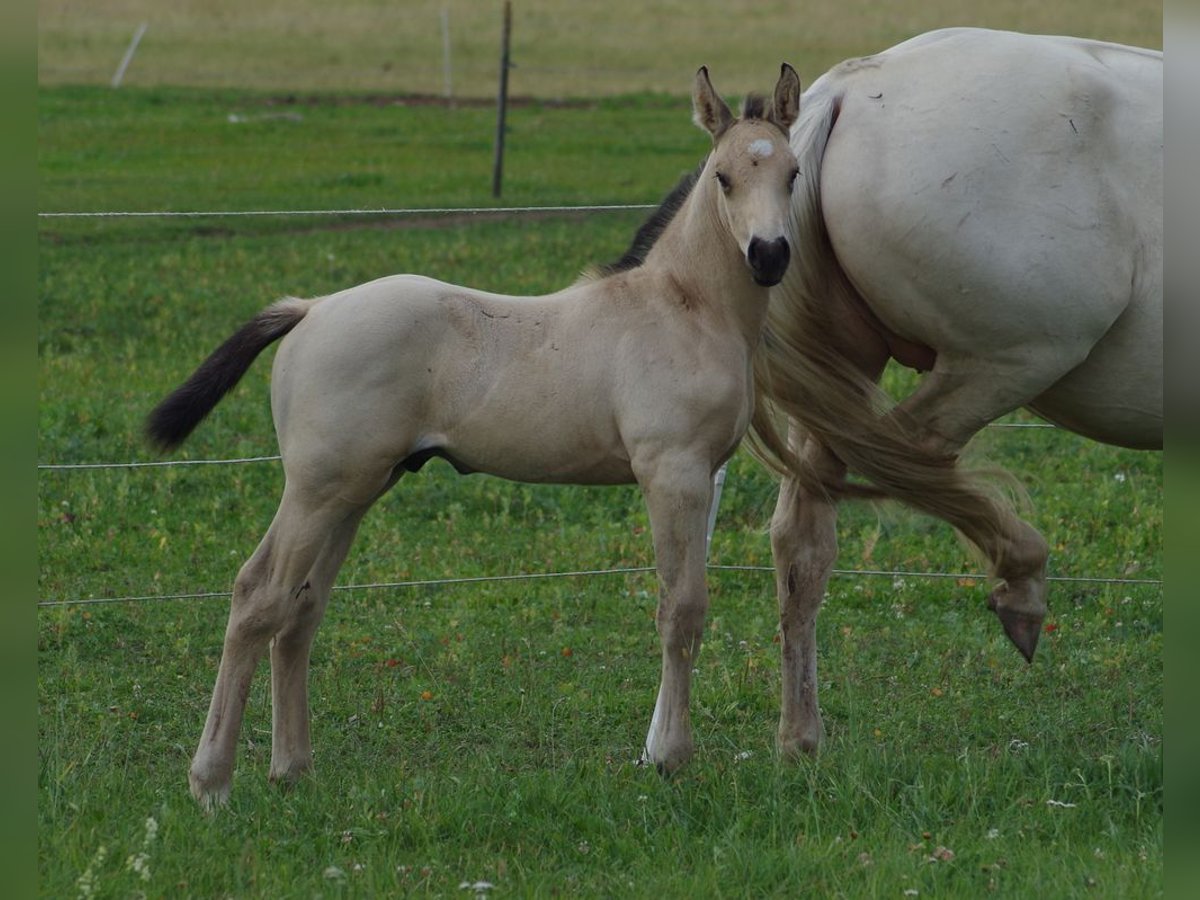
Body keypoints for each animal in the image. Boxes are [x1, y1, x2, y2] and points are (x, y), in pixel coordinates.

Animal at [152, 65, 806, 811]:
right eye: (723, 176)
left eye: (792, 172)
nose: (769, 256)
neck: (683, 308)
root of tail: (310, 310)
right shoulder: (674, 474)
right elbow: (683, 610)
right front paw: (670, 758)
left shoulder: (699, 475)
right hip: (315, 490)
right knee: (257, 596)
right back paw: (211, 782)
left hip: (353, 492)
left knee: (301, 610)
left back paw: (292, 770)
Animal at [748, 28, 1161, 758]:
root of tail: (852, 87)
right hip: (1008, 359)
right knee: (913, 459)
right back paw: (1022, 582)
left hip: (845, 365)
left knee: (804, 535)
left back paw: (801, 739)